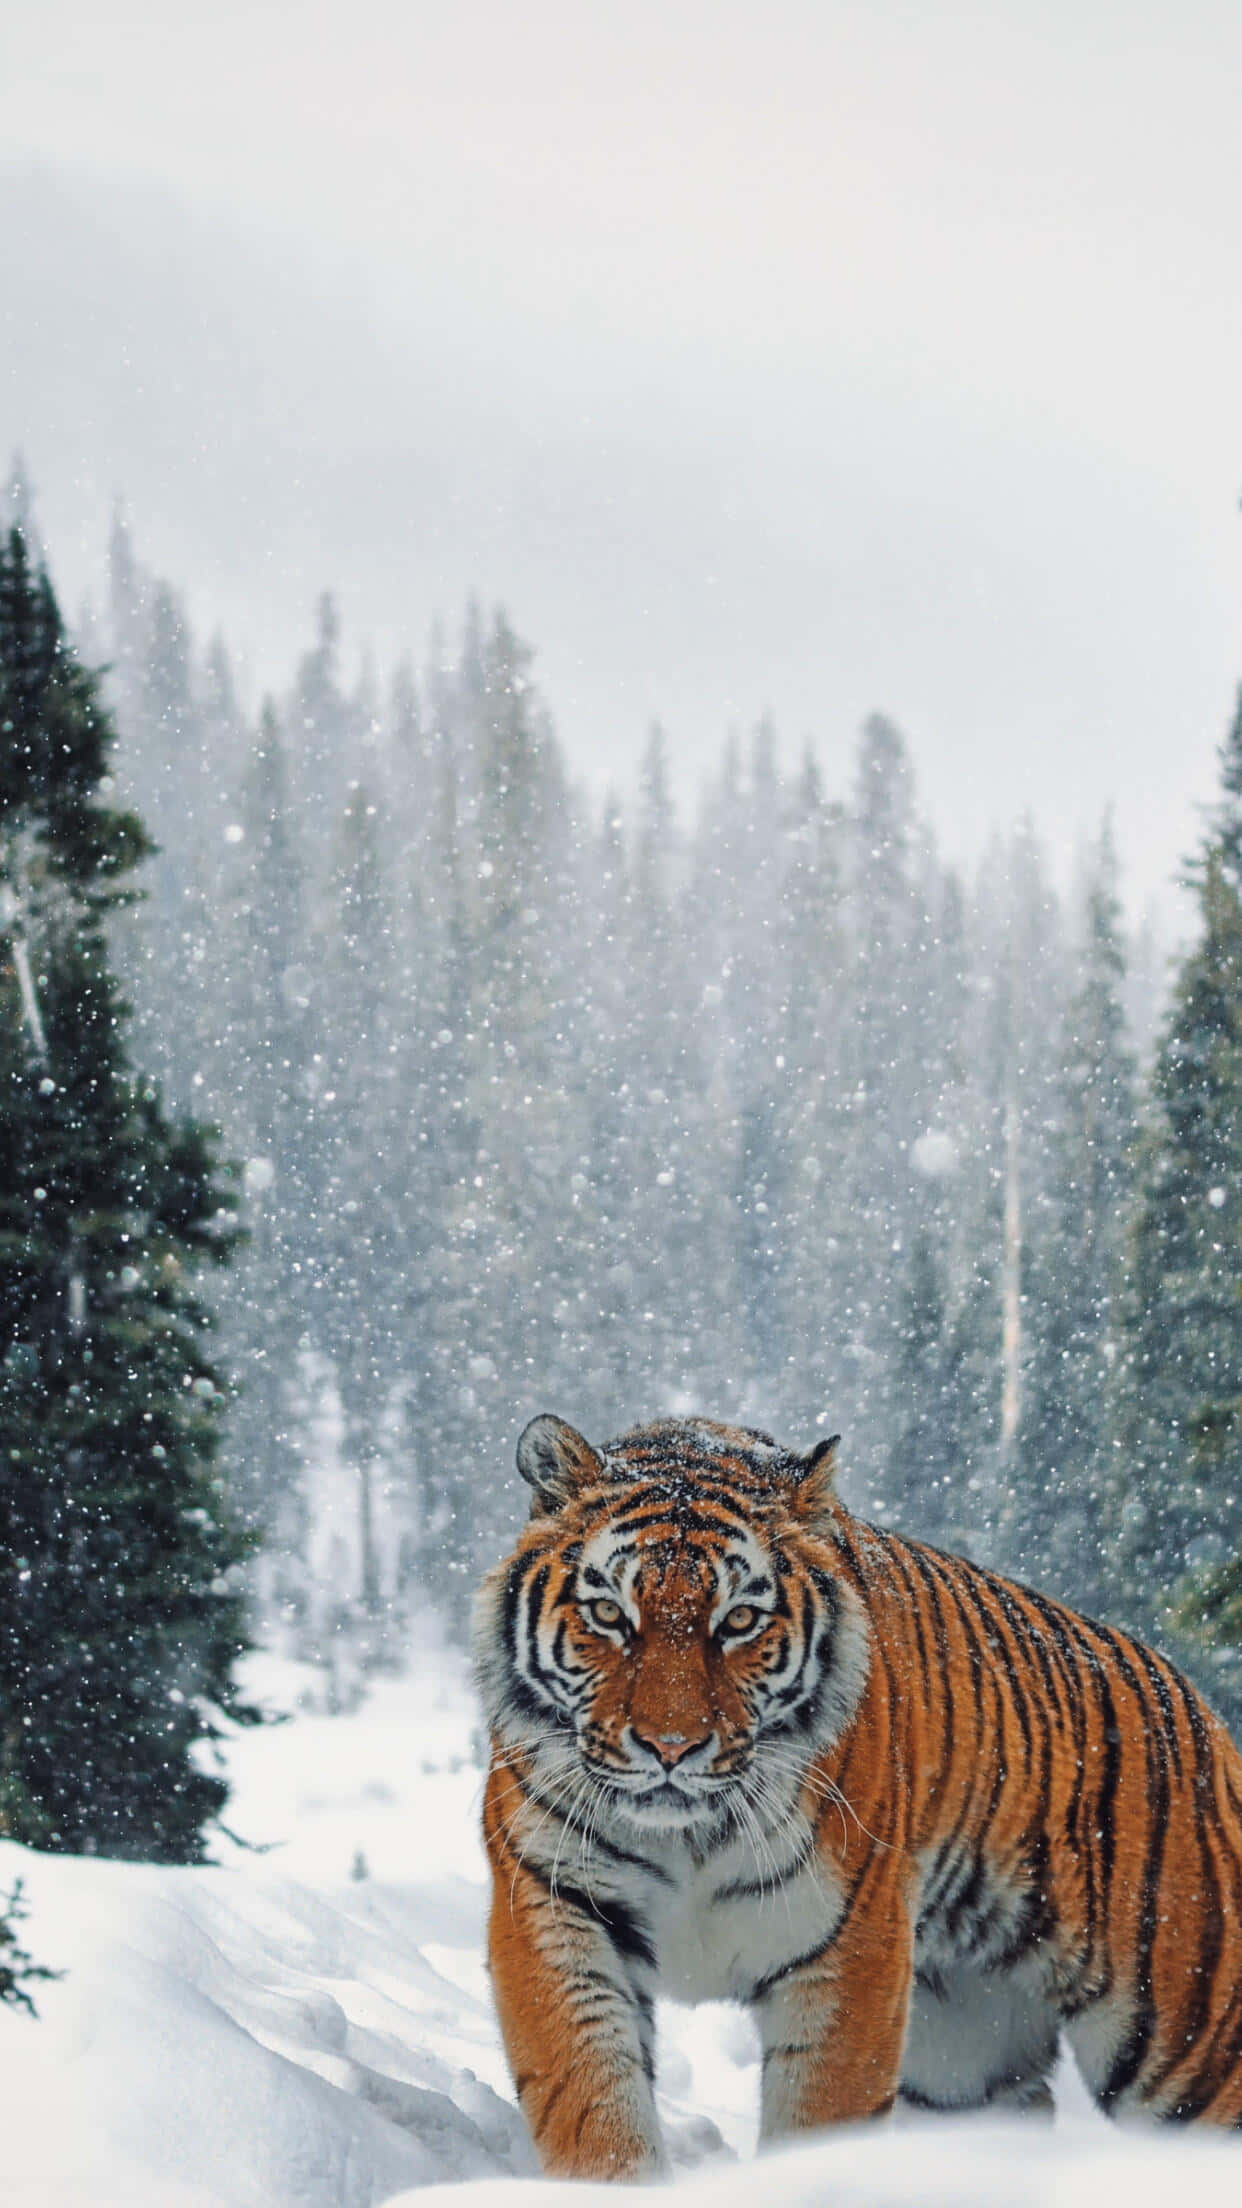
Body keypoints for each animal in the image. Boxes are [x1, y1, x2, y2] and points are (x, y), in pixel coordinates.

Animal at [474, 1412, 1242, 2179]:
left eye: (739, 1622)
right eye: (609, 1613)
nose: (670, 1747)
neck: (688, 1835)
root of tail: (1203, 1710)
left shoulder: (850, 1947)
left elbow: (820, 2116)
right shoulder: (555, 1904)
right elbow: (592, 2099)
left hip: (1188, 2033)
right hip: (963, 2059)